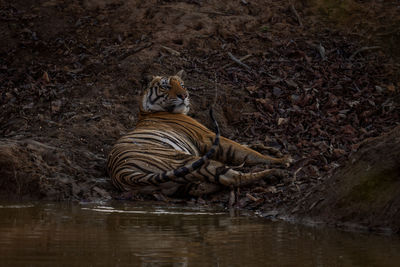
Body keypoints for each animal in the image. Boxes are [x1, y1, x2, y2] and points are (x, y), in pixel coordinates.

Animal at [108, 71, 292, 197]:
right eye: (166, 86)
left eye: (182, 85)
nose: (184, 96)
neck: (146, 111)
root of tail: (123, 173)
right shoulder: (207, 136)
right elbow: (244, 151)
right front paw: (282, 159)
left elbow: (246, 145)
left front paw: (273, 150)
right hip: (187, 161)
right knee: (233, 178)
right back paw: (274, 173)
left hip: (177, 182)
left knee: (199, 187)